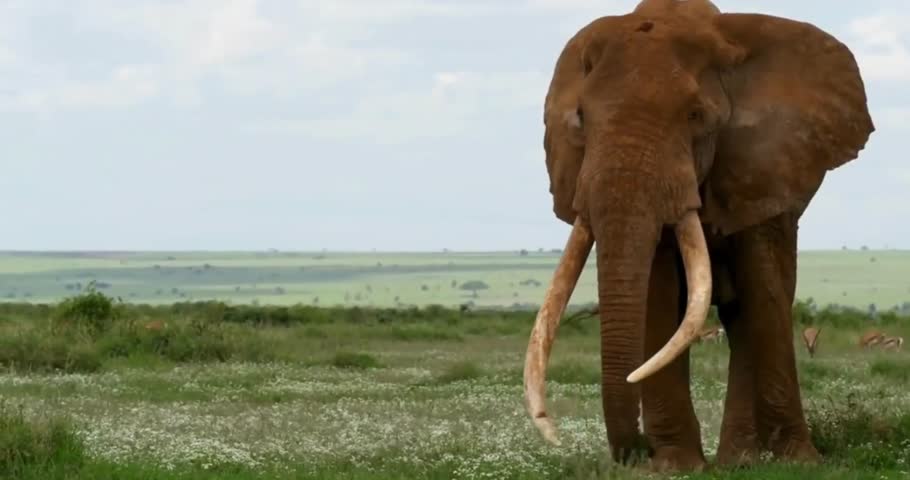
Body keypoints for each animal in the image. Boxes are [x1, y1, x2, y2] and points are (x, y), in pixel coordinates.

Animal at [522, 0, 874, 472]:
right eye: (580, 118)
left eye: (696, 116)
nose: (635, 453)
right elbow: (657, 291)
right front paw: (675, 468)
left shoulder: (761, 166)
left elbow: (763, 289)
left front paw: (799, 462)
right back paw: (736, 460)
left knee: (748, 310)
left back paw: (741, 461)